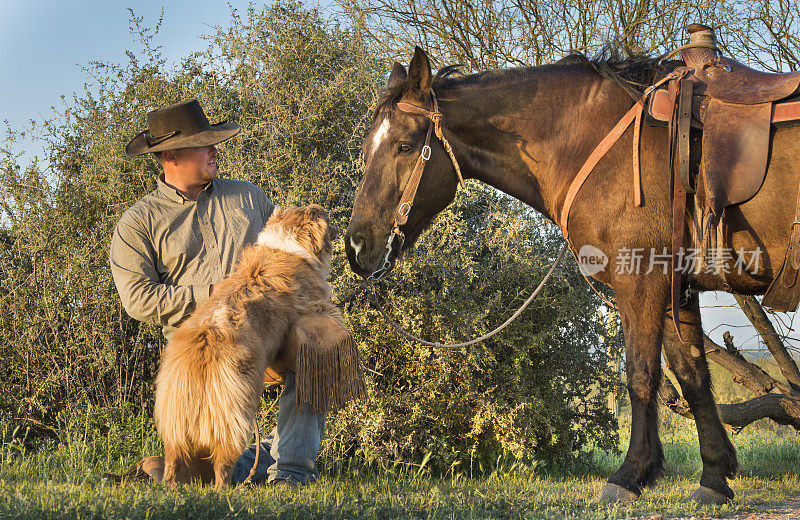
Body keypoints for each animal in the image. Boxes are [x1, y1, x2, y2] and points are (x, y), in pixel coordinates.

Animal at [344, 47, 800, 504]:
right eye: (367, 147)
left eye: (405, 145)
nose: (356, 247)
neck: (598, 145)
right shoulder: (676, 290)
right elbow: (693, 376)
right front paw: (714, 478)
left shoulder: (641, 282)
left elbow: (641, 375)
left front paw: (629, 475)